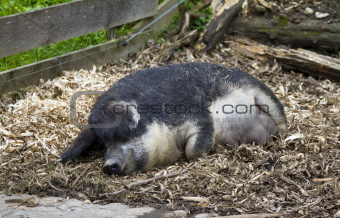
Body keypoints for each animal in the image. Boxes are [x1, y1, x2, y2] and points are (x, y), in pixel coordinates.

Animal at [59, 62, 286, 175]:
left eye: (127, 131)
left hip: (262, 93)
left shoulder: (198, 118)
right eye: (102, 145)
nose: (108, 165)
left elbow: (193, 150)